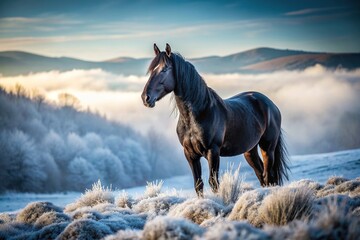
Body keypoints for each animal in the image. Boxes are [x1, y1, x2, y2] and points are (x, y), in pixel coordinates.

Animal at [141, 43, 290, 197]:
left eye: (164, 69)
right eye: (151, 70)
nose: (146, 98)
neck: (198, 115)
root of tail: (270, 104)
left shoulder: (213, 151)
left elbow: (213, 183)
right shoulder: (190, 154)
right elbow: (198, 184)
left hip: (268, 148)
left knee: (268, 175)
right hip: (250, 150)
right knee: (261, 175)